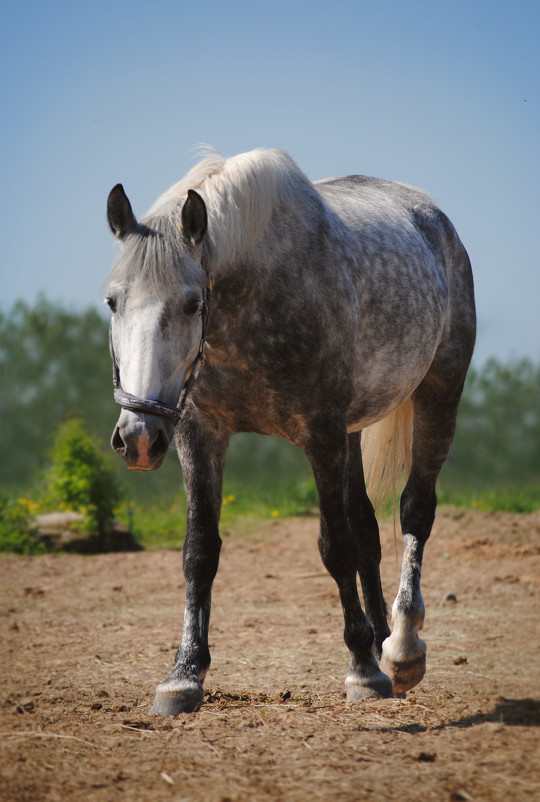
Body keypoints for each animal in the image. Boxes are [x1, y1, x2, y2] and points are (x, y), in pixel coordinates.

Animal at [103, 147, 474, 716]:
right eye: (112, 302)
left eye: (192, 303)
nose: (138, 437)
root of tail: (434, 219)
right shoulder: (198, 432)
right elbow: (199, 552)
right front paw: (183, 675)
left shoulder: (319, 432)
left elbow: (334, 547)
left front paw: (363, 669)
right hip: (353, 430)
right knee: (368, 529)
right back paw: (382, 636)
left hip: (440, 390)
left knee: (415, 510)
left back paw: (402, 650)